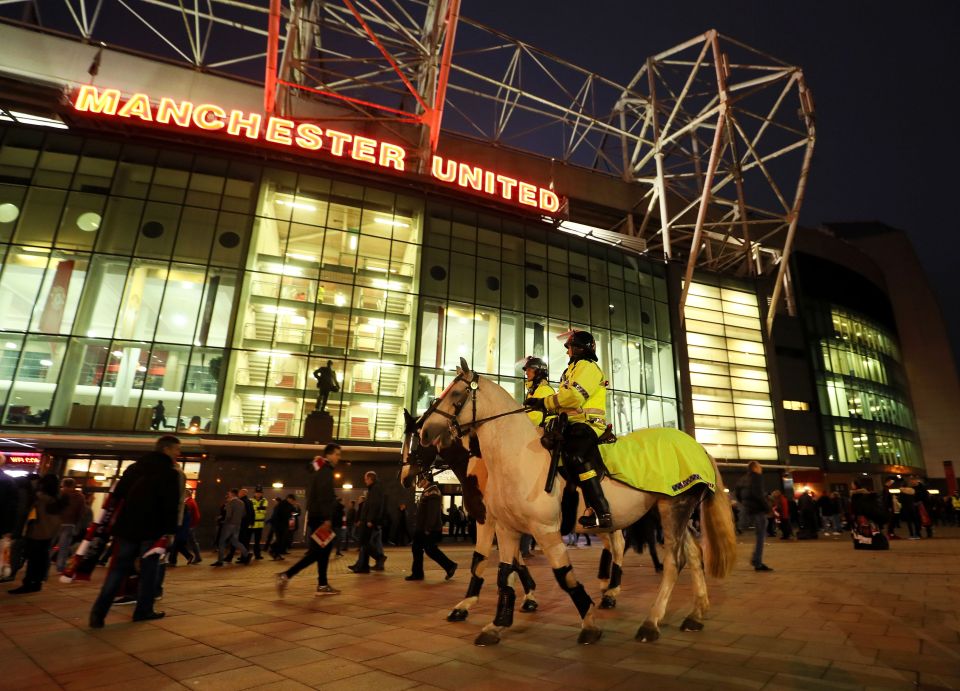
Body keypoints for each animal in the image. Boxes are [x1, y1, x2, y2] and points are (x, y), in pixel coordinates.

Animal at [418, 362, 736, 648]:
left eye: (456, 394)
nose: (424, 431)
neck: (515, 457)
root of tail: (697, 446)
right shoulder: (506, 528)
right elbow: (503, 572)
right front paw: (496, 624)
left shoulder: (542, 529)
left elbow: (563, 577)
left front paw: (589, 623)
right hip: (669, 511)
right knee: (692, 554)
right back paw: (695, 615)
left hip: (673, 506)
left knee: (672, 560)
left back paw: (649, 621)